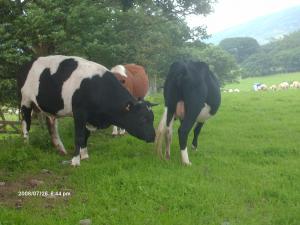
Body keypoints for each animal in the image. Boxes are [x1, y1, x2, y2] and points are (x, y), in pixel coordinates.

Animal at [17, 55, 156, 166]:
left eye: (152, 118)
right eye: (142, 119)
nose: (153, 137)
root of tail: (27, 64)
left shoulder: (89, 117)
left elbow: (86, 135)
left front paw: (84, 155)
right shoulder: (79, 113)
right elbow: (79, 136)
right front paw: (75, 161)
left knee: (51, 125)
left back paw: (60, 149)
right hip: (25, 100)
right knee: (26, 123)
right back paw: (25, 145)